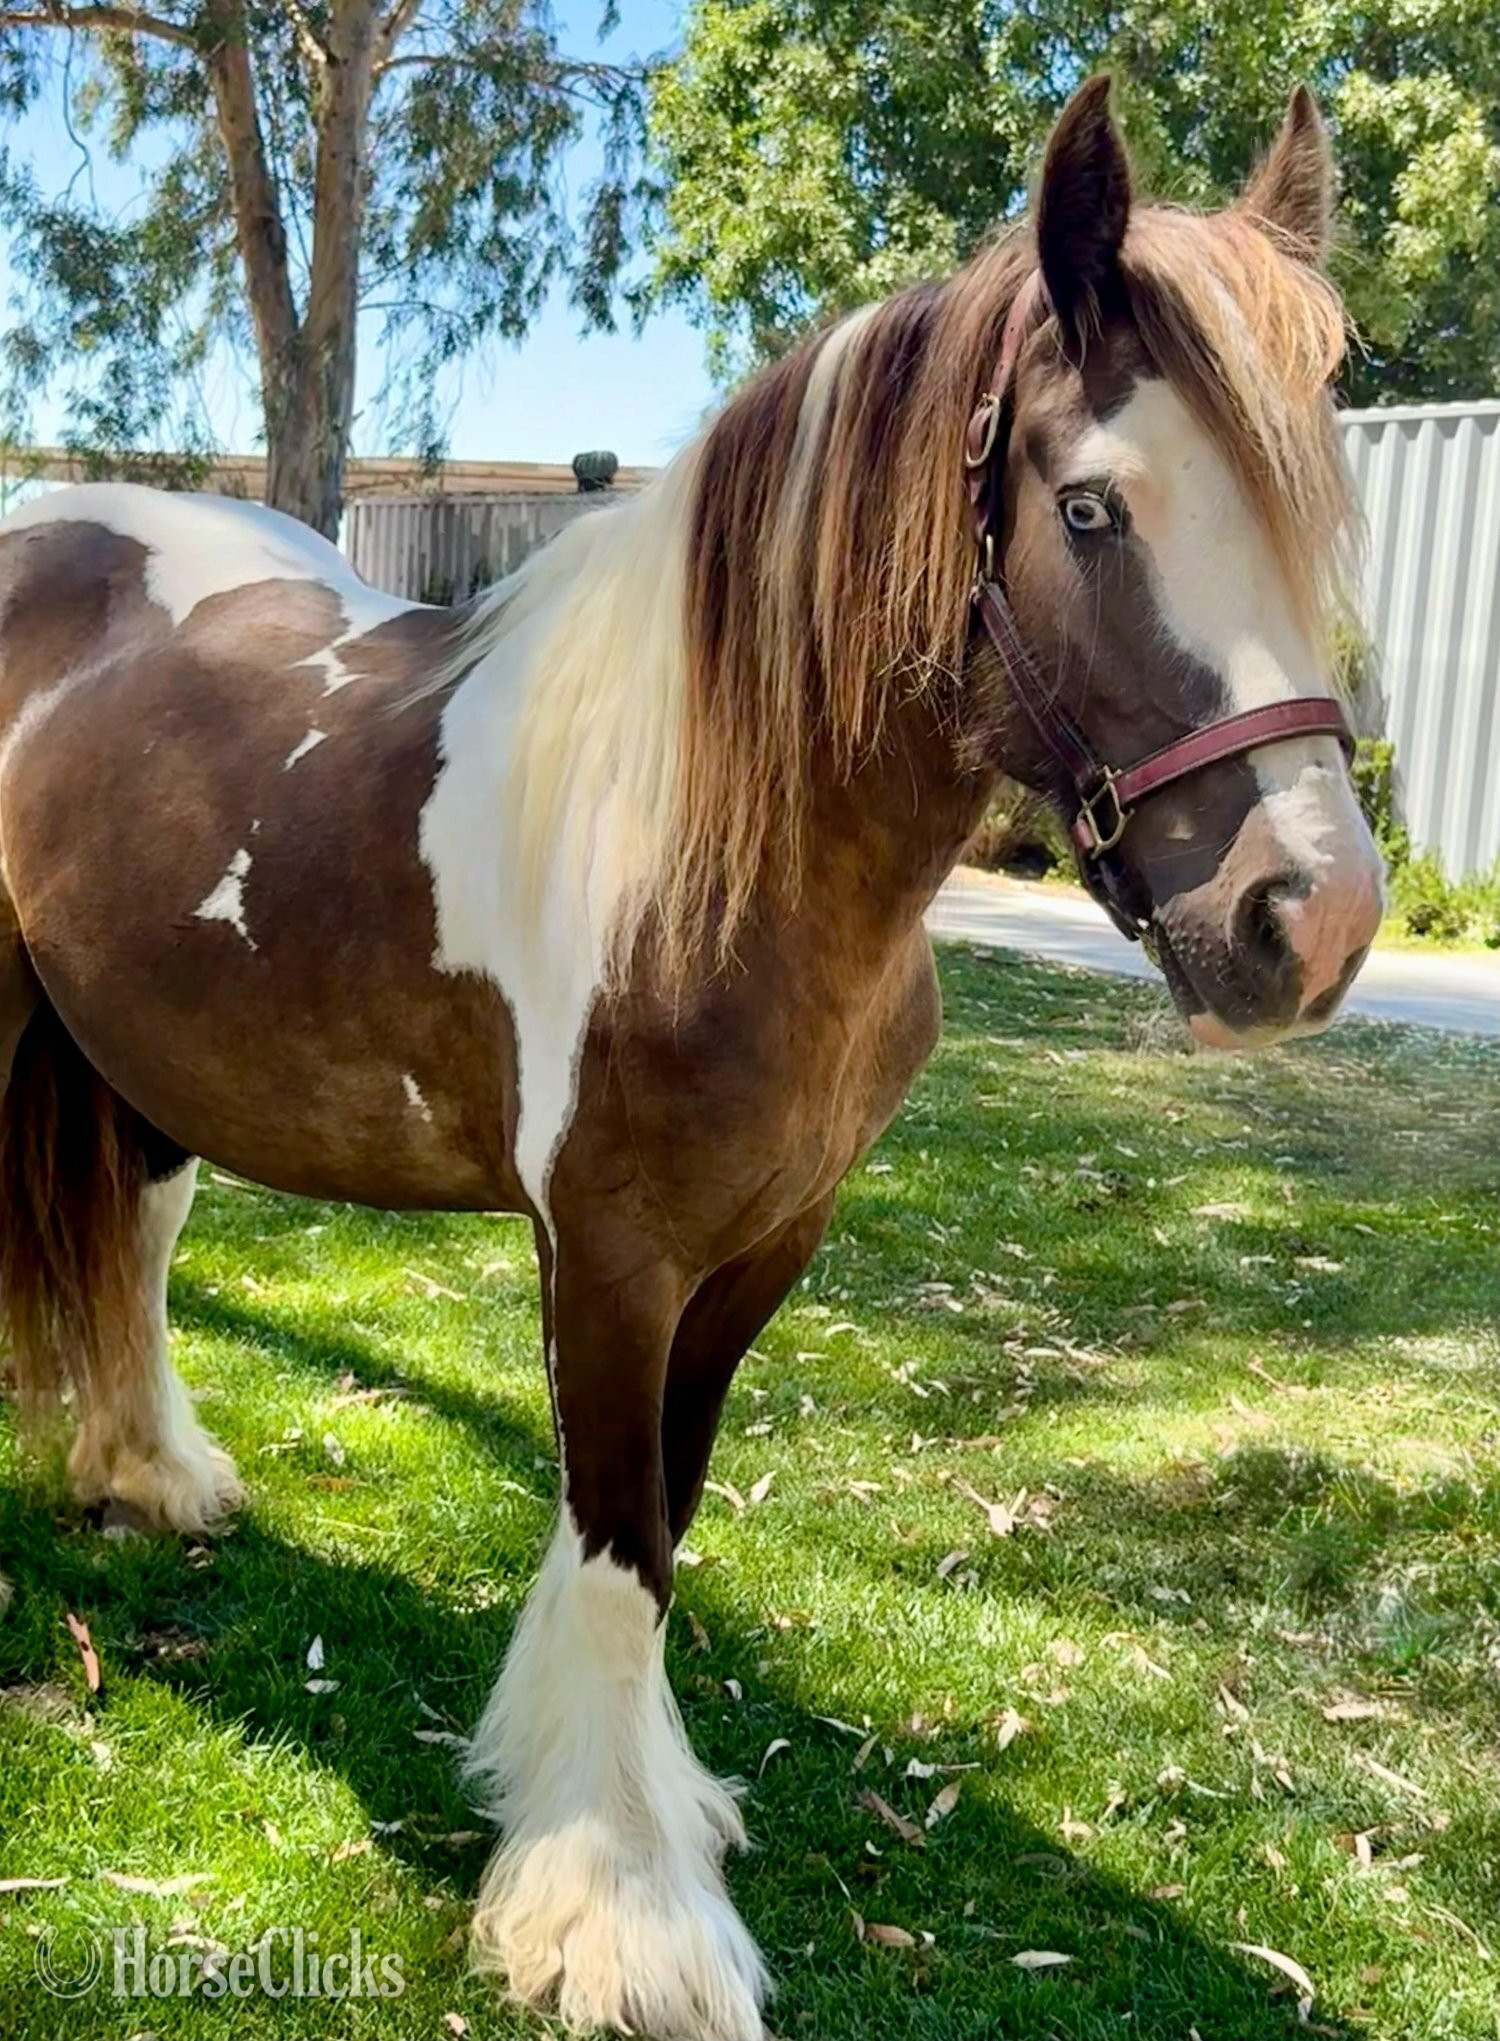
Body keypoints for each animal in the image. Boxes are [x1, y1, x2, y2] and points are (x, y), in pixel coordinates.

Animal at [0, 76, 1383, 2040]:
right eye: (1093, 508)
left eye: (1310, 510)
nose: (1312, 921)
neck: (717, 848)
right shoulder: (608, 1258)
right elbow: (617, 1535)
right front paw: (614, 1915)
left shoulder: (760, 1252)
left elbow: (672, 1515)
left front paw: (645, 1810)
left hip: (145, 1058)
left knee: (129, 1234)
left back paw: (152, 1477)